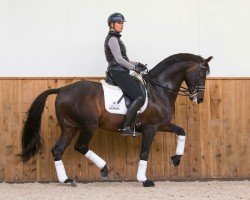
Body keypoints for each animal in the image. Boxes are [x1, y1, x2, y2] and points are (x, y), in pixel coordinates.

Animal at [20, 53, 213, 188]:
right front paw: (144, 180)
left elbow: (181, 131)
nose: (200, 99)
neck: (158, 90)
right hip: (88, 125)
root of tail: (62, 90)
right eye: (202, 73)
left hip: (69, 127)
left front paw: (176, 159)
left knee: (58, 149)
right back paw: (104, 169)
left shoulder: (161, 124)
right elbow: (145, 152)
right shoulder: (150, 127)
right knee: (80, 146)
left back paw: (66, 180)